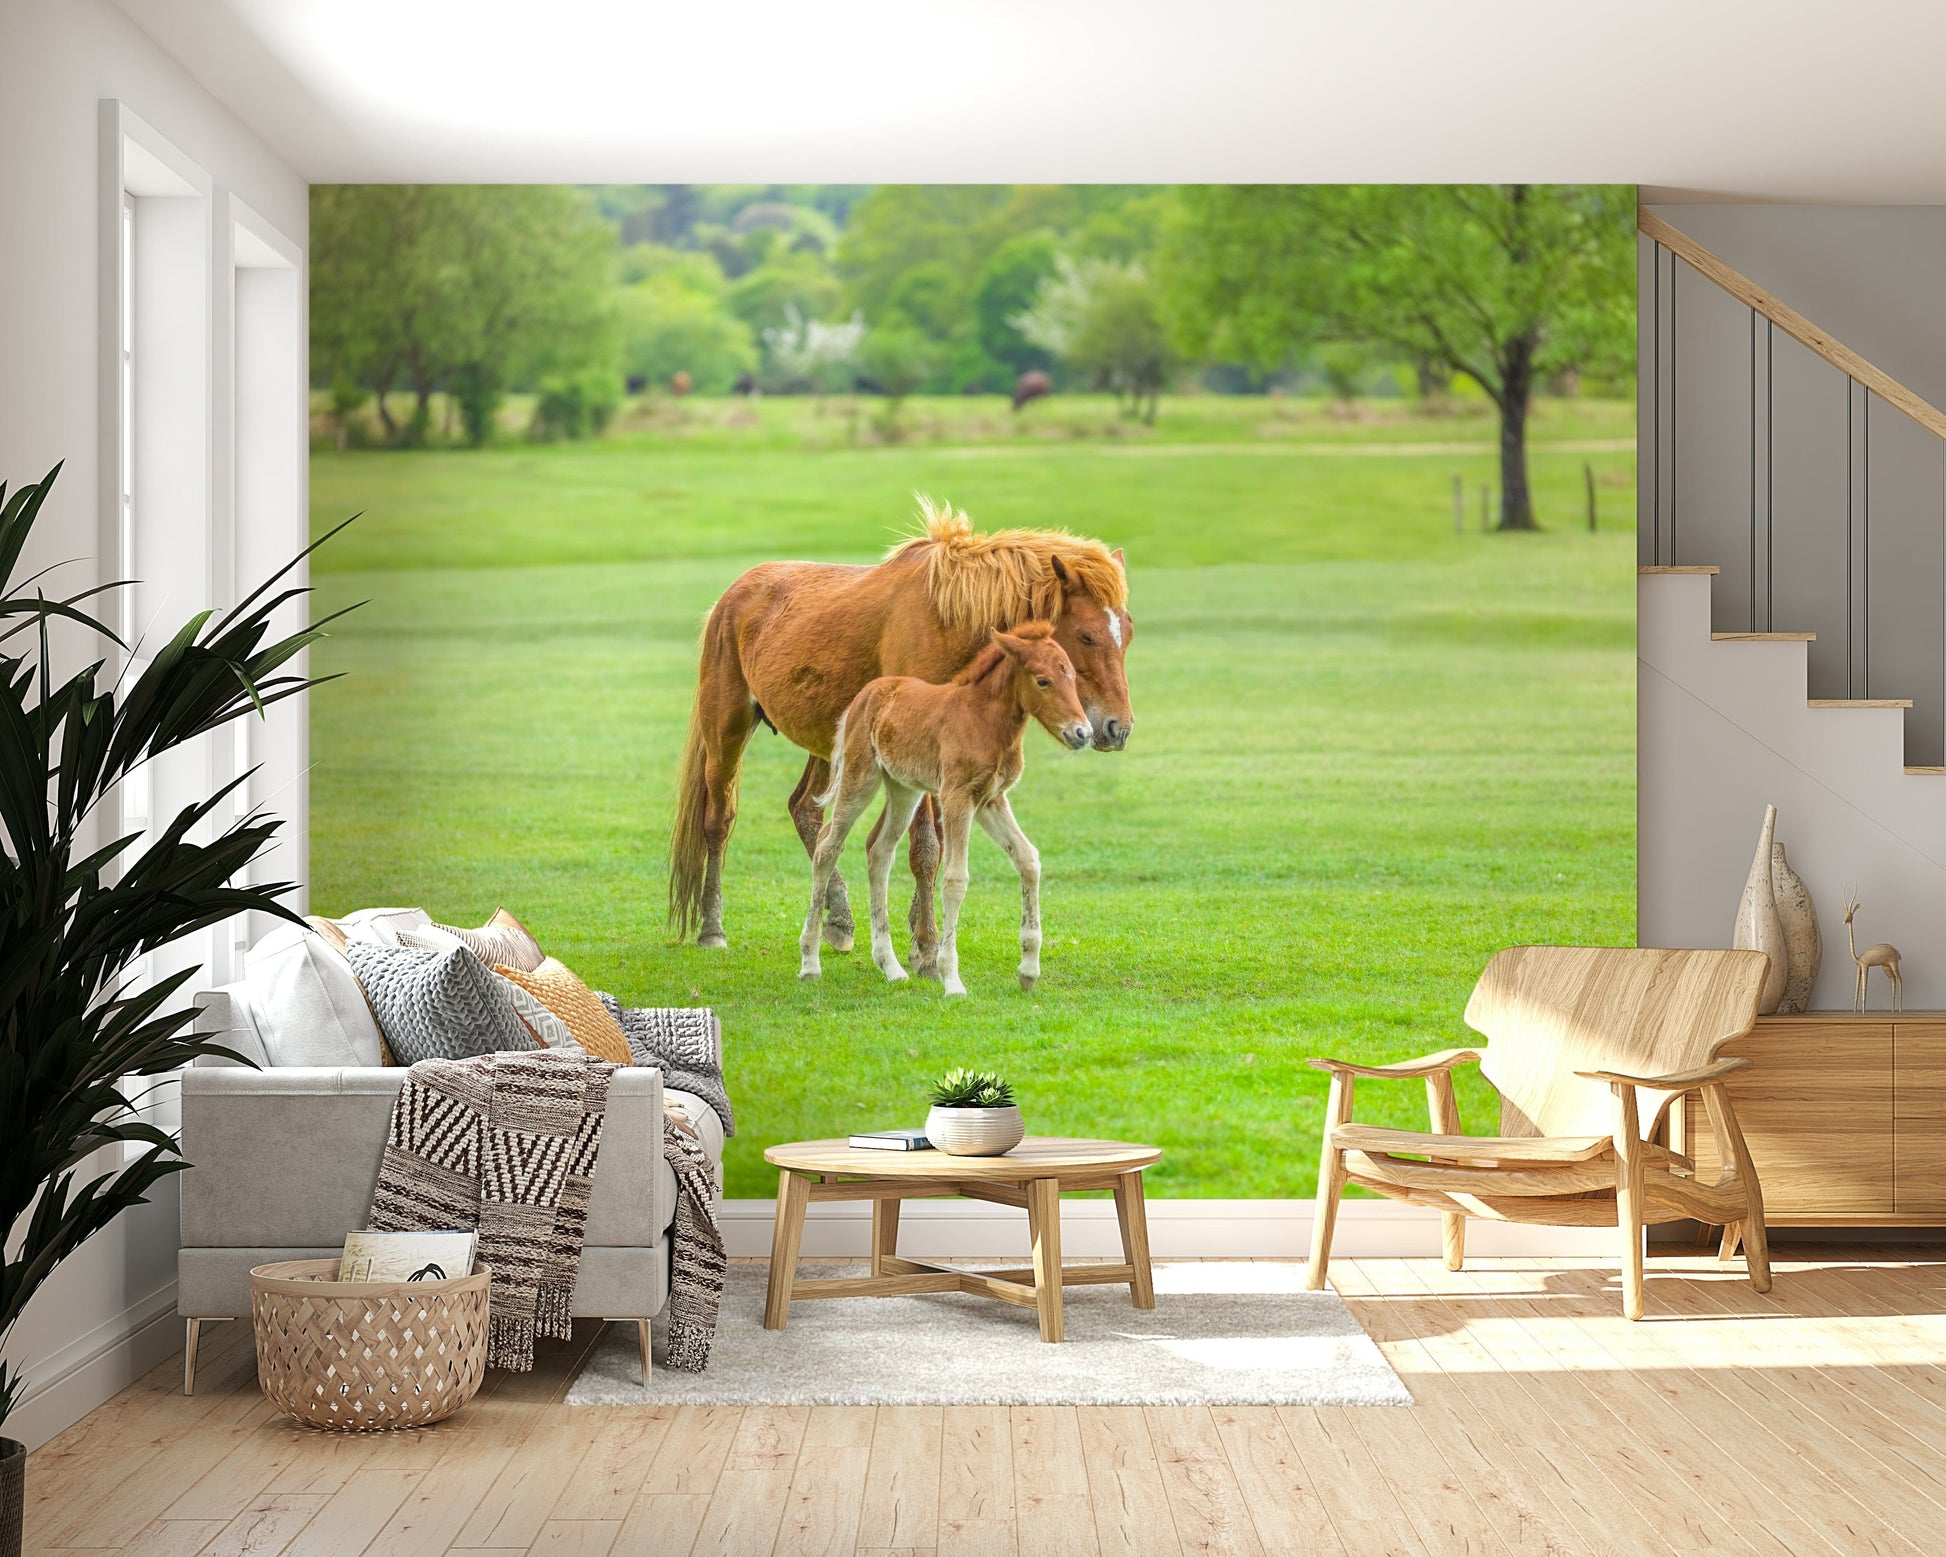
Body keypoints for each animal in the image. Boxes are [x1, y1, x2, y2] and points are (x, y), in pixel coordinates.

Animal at [800, 622, 1090, 996]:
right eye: (1043, 680)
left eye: (1072, 675)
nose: (1083, 733)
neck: (984, 720)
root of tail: (865, 695)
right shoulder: (956, 797)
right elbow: (955, 878)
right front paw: (951, 979)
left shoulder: (991, 800)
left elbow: (1028, 859)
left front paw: (1028, 971)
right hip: (860, 778)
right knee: (828, 846)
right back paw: (810, 963)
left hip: (904, 789)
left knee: (879, 849)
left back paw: (891, 966)